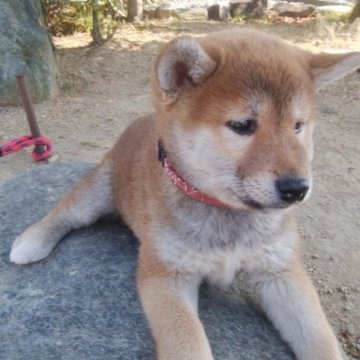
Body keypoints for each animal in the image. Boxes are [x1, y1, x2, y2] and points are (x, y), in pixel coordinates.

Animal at [9, 29, 360, 358]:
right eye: (242, 125)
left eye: (298, 126)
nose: (296, 188)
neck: (225, 213)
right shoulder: (165, 274)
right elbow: (186, 341)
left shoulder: (281, 272)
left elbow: (319, 339)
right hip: (97, 192)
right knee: (66, 211)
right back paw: (31, 240)